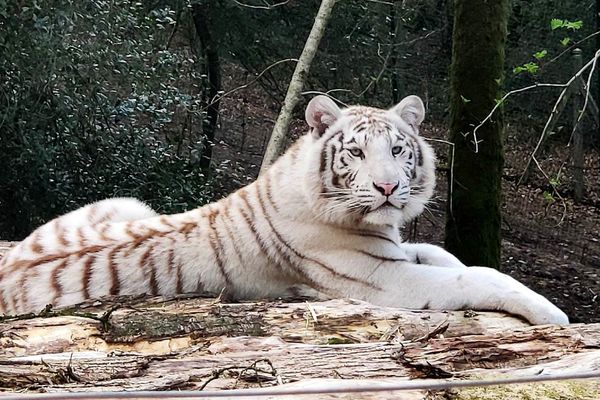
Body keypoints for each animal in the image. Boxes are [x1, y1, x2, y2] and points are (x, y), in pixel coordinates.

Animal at [0, 96, 568, 324]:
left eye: (398, 150)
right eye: (356, 152)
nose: (388, 187)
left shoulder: (396, 252)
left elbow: (443, 254)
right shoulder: (386, 281)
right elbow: (476, 275)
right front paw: (551, 313)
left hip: (127, 203)